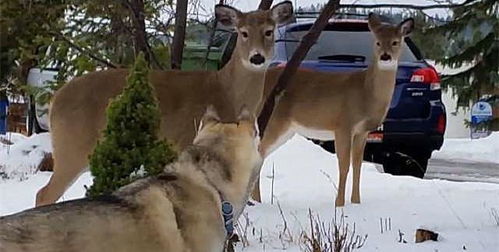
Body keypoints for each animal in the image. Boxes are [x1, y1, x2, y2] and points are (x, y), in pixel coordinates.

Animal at [37, 1, 294, 207]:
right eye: (243, 33)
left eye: (269, 31)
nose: (257, 57)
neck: (227, 92)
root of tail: (55, 99)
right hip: (73, 145)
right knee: (44, 193)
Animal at [254, 13, 414, 207]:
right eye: (377, 42)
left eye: (395, 42)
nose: (385, 56)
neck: (365, 93)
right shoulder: (343, 124)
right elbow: (344, 165)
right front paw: (339, 204)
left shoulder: (362, 131)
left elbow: (357, 165)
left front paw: (356, 202)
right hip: (274, 120)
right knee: (257, 152)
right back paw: (254, 201)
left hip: (284, 127)